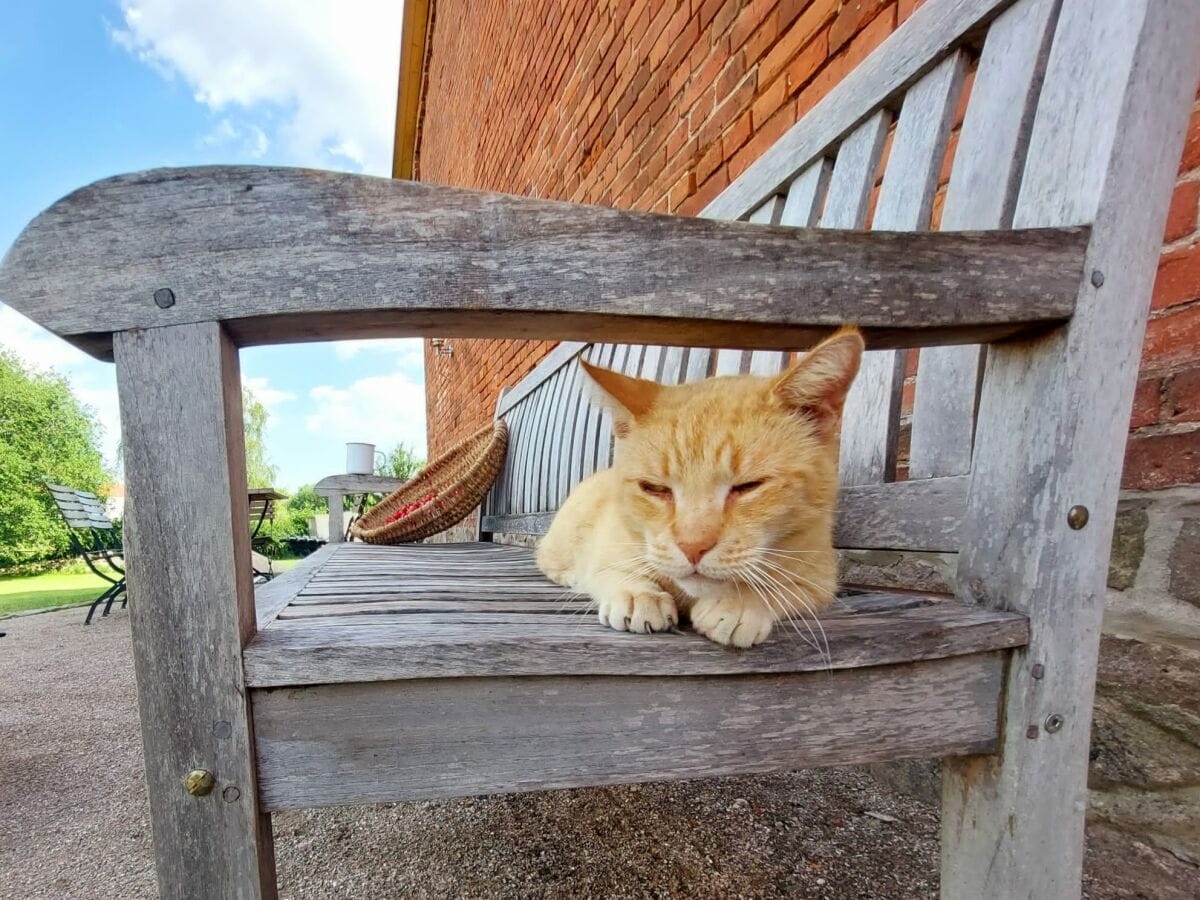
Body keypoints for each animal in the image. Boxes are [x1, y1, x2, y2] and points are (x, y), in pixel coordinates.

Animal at [537, 328, 864, 648]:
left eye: (748, 486)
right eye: (654, 488)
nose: (692, 548)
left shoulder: (820, 579)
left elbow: (783, 585)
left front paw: (740, 602)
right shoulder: (608, 546)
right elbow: (612, 568)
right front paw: (638, 594)